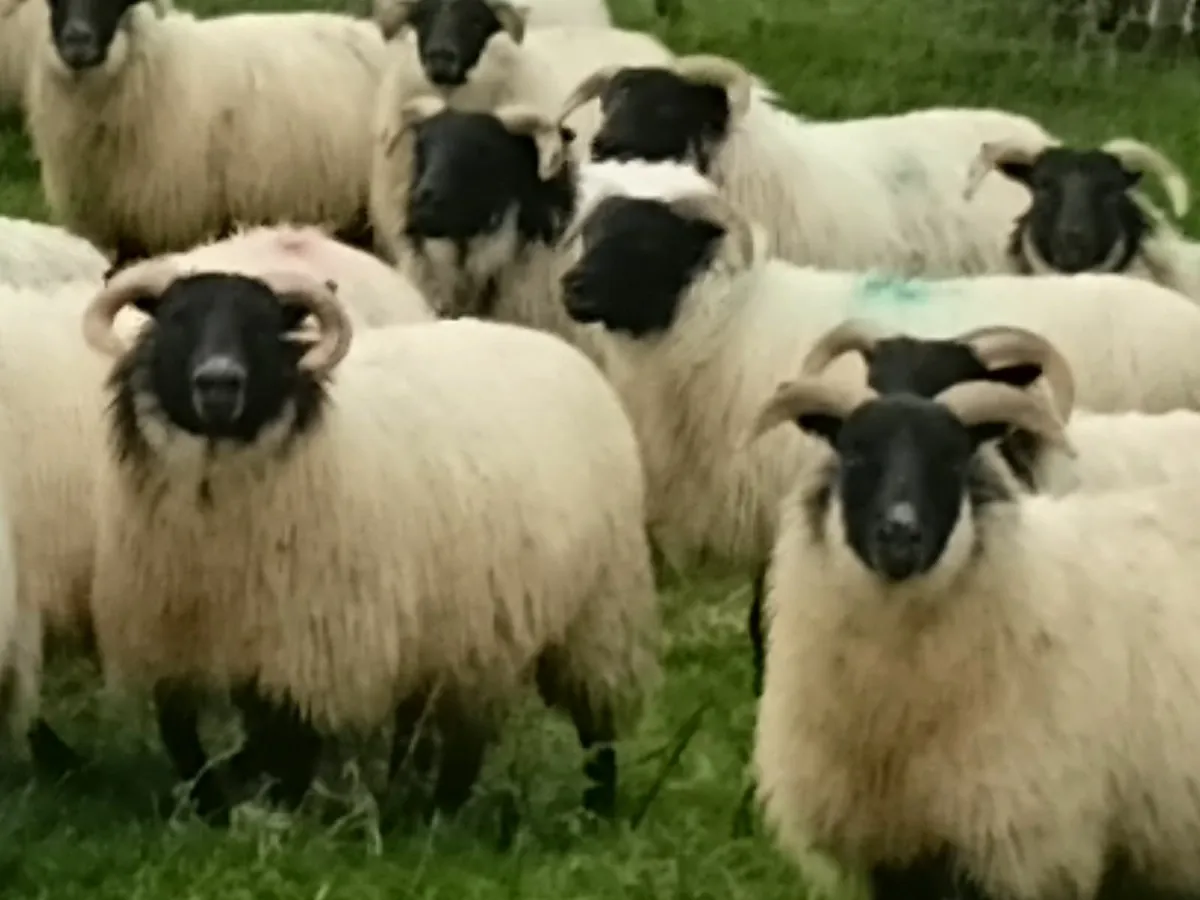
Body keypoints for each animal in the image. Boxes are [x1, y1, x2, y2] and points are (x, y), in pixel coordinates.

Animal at [79, 258, 659, 822]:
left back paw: (589, 808)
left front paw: (278, 815)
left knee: (592, 724)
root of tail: (557, 347)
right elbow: (187, 741)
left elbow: (287, 745)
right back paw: (427, 807)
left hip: (598, 610)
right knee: (456, 730)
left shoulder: (309, 646)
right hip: (464, 630)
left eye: (263, 327)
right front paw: (213, 808)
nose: (219, 383)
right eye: (175, 319)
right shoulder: (176, 638)